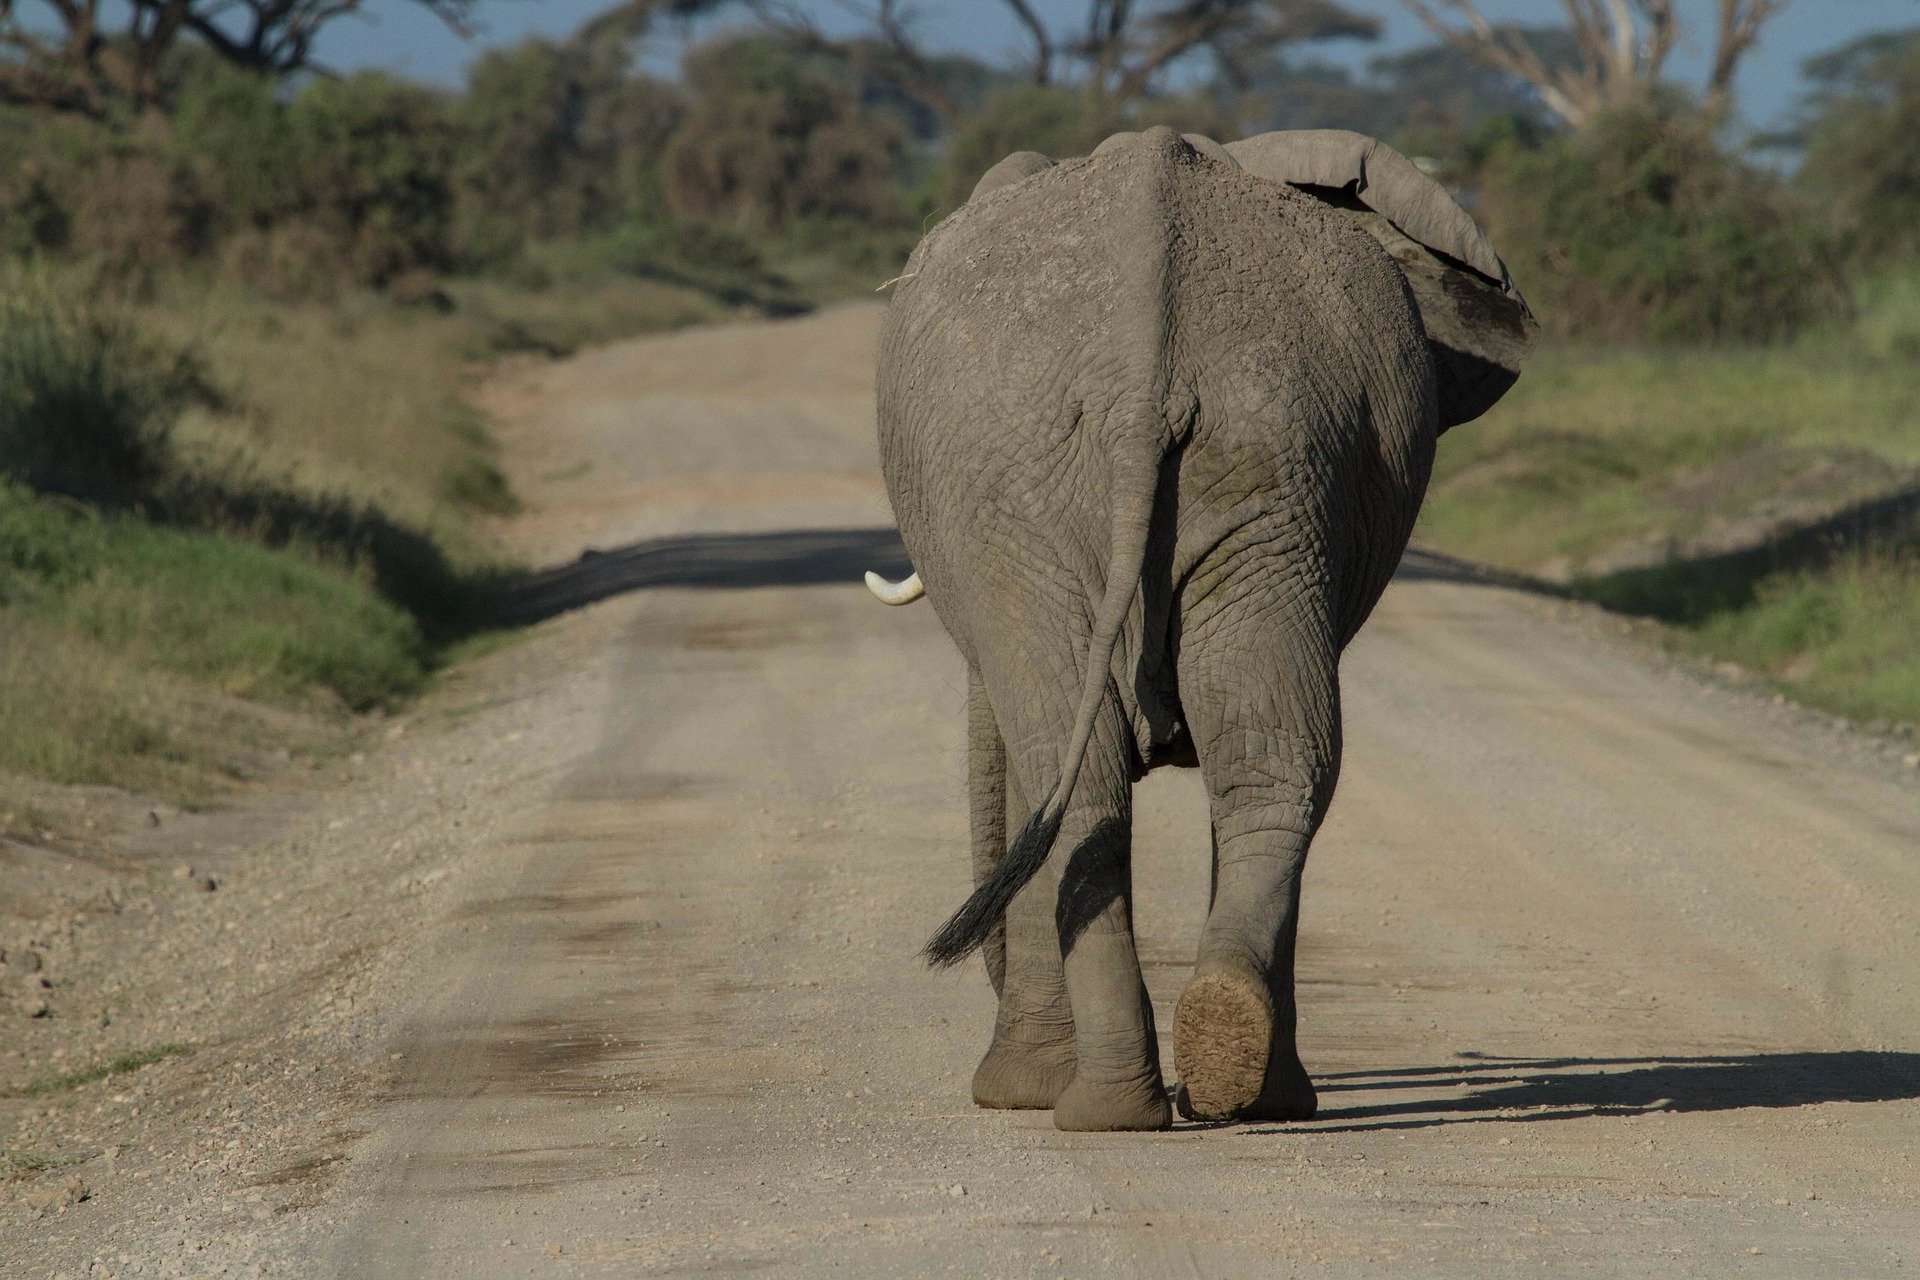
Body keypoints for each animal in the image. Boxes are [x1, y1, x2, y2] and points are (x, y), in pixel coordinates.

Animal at [864, 127, 1536, 1128]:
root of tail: (1142, 373)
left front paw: (1013, 1093)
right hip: (1271, 460)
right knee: (1268, 757)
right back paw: (1236, 1077)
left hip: (1040, 492)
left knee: (1082, 770)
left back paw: (1097, 1107)